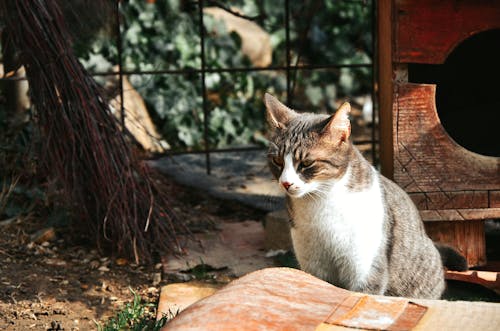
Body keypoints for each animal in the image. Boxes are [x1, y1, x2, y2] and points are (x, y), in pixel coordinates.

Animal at [264, 92, 466, 300]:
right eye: (277, 161)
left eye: (306, 163)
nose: (286, 183)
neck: (320, 204)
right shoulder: (313, 262)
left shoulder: (365, 264)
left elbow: (364, 293)